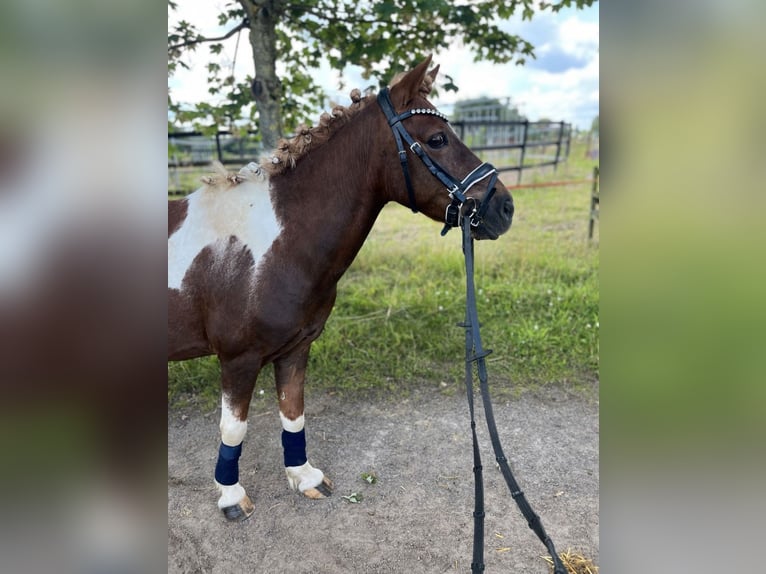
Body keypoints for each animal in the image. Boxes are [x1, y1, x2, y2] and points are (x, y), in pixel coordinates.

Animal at [168, 57, 516, 520]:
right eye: (437, 139)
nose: (505, 207)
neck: (274, 243)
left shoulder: (295, 348)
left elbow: (293, 412)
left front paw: (305, 478)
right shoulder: (238, 359)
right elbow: (234, 427)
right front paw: (230, 495)